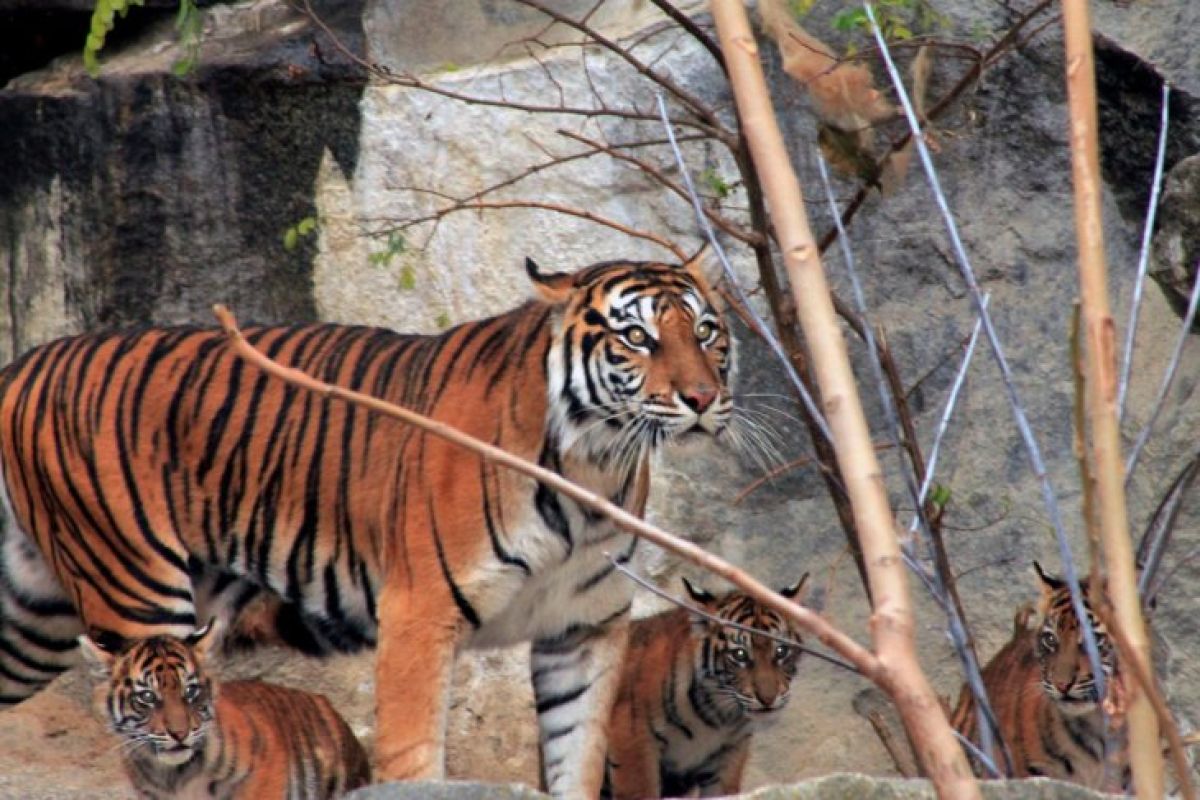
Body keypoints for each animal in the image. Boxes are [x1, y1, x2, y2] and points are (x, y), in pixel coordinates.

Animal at [0, 251, 729, 796]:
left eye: (707, 332)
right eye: (636, 337)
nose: (702, 398)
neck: (593, 468)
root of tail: (27, 362)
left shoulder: (584, 629)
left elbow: (576, 757)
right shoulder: (419, 612)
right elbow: (414, 756)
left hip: (33, 619)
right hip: (138, 599)